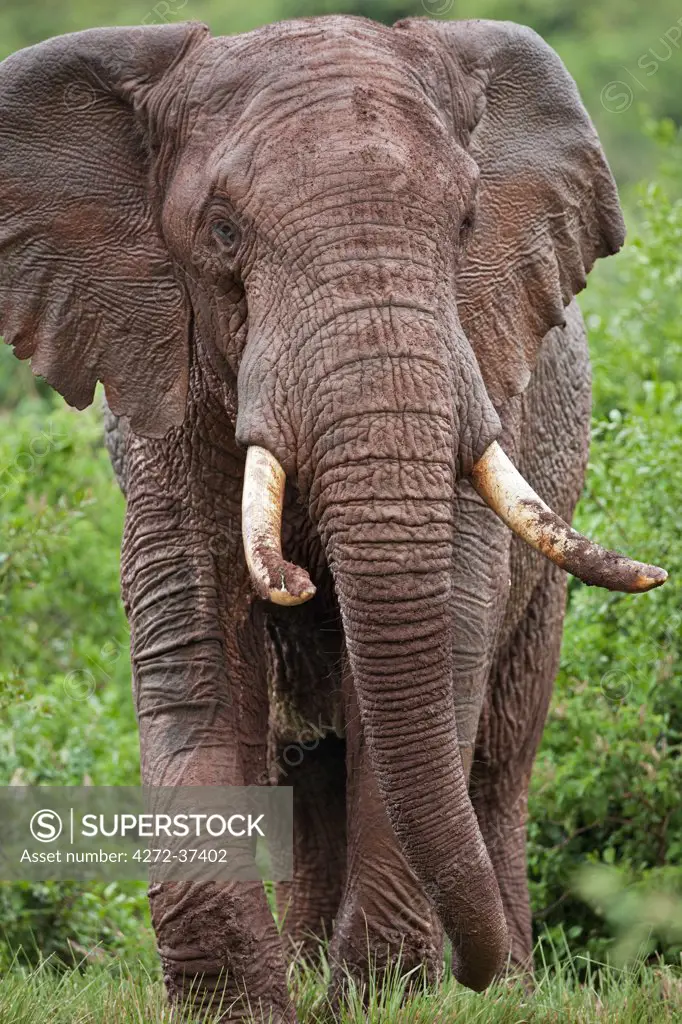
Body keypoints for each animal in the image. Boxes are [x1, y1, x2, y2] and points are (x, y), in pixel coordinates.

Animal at [0, 12, 663, 1019]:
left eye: (466, 223)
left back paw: (503, 983)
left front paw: (385, 997)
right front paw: (241, 1006)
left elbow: (445, 635)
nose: (467, 967)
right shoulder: (161, 374)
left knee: (498, 758)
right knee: (306, 767)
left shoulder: (479, 363)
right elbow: (195, 641)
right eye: (222, 232)